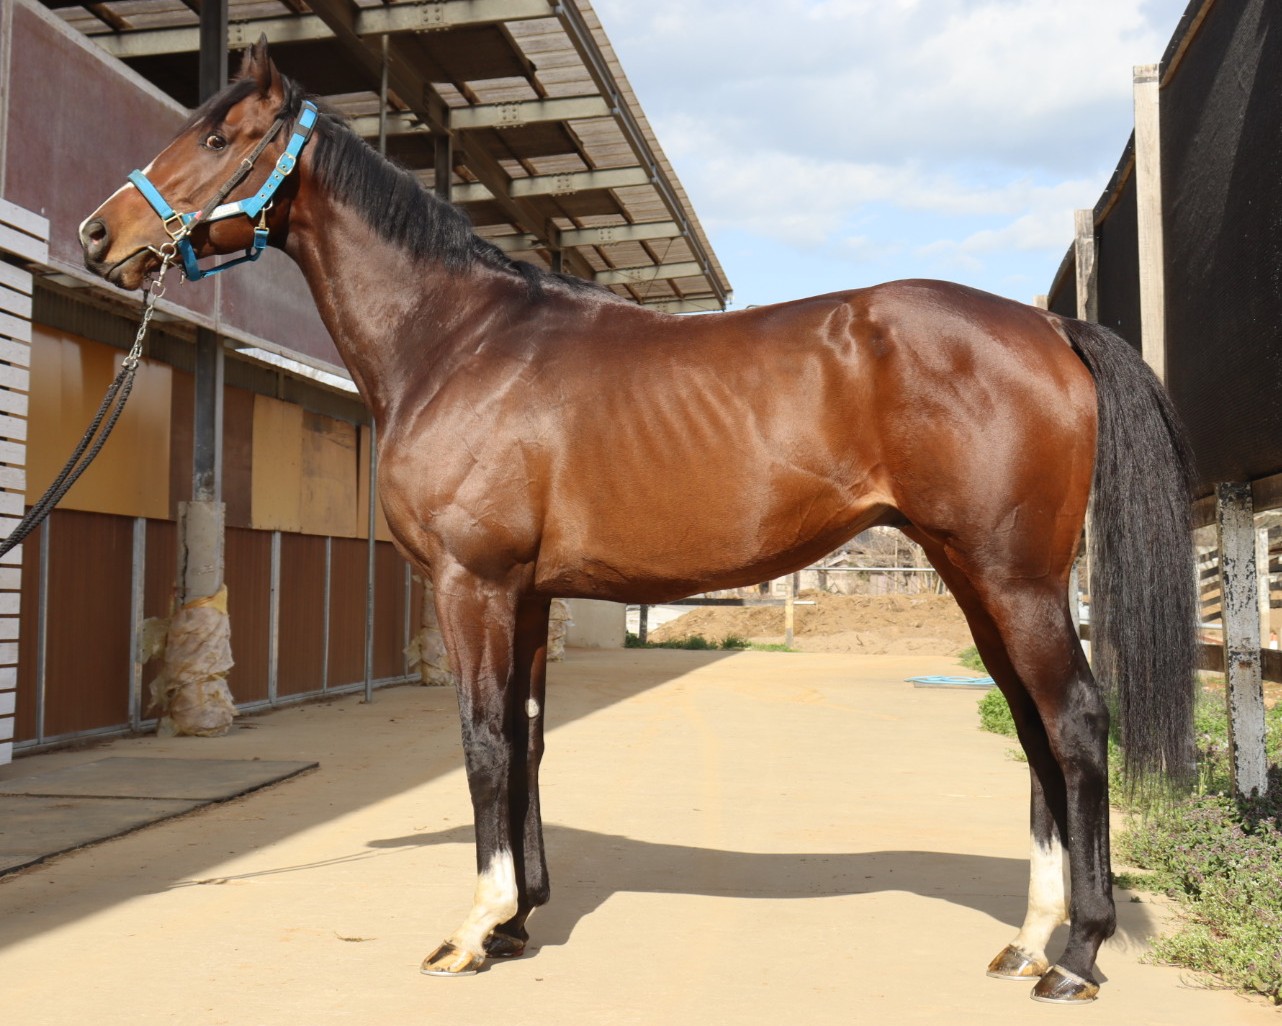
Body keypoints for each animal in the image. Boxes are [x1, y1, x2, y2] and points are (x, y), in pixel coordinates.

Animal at [78, 40, 1196, 1003]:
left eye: (218, 137)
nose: (99, 235)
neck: (457, 342)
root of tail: (1045, 324)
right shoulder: (525, 595)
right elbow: (525, 741)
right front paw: (519, 922)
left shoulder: (473, 585)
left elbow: (482, 739)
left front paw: (472, 930)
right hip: (976, 578)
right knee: (1032, 727)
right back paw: (1029, 939)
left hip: (1016, 581)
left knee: (1075, 722)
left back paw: (1079, 956)